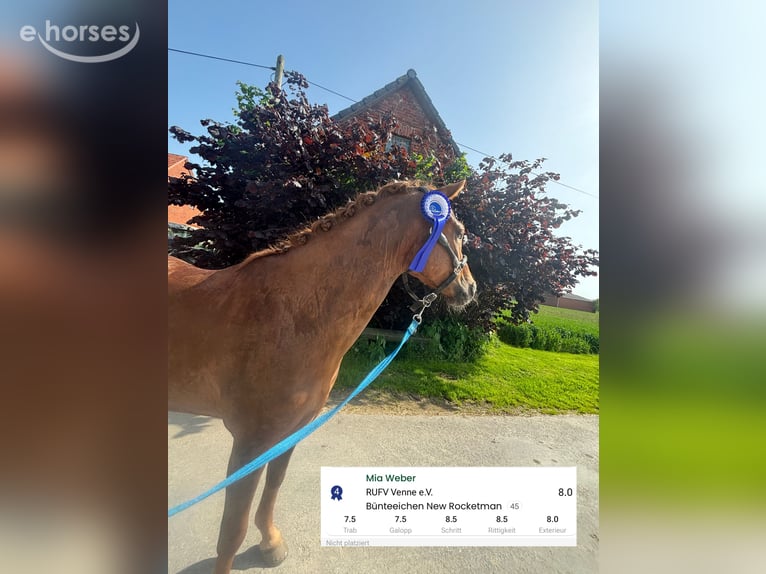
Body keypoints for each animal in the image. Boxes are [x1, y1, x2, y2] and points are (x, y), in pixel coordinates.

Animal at [168, 179, 476, 574]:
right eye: (460, 233)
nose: (470, 289)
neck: (294, 313)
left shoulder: (291, 430)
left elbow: (274, 485)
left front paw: (270, 542)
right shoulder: (251, 441)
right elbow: (231, 531)